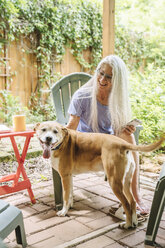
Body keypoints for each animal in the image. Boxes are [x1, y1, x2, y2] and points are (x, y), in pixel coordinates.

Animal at [34, 120, 164, 229]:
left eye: (55, 131)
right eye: (44, 130)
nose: (48, 138)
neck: (62, 143)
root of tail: (122, 143)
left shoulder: (64, 176)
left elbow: (65, 196)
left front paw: (64, 211)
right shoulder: (69, 176)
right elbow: (70, 194)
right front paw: (70, 206)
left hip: (114, 182)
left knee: (126, 204)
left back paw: (127, 225)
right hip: (126, 182)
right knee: (132, 202)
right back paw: (134, 222)